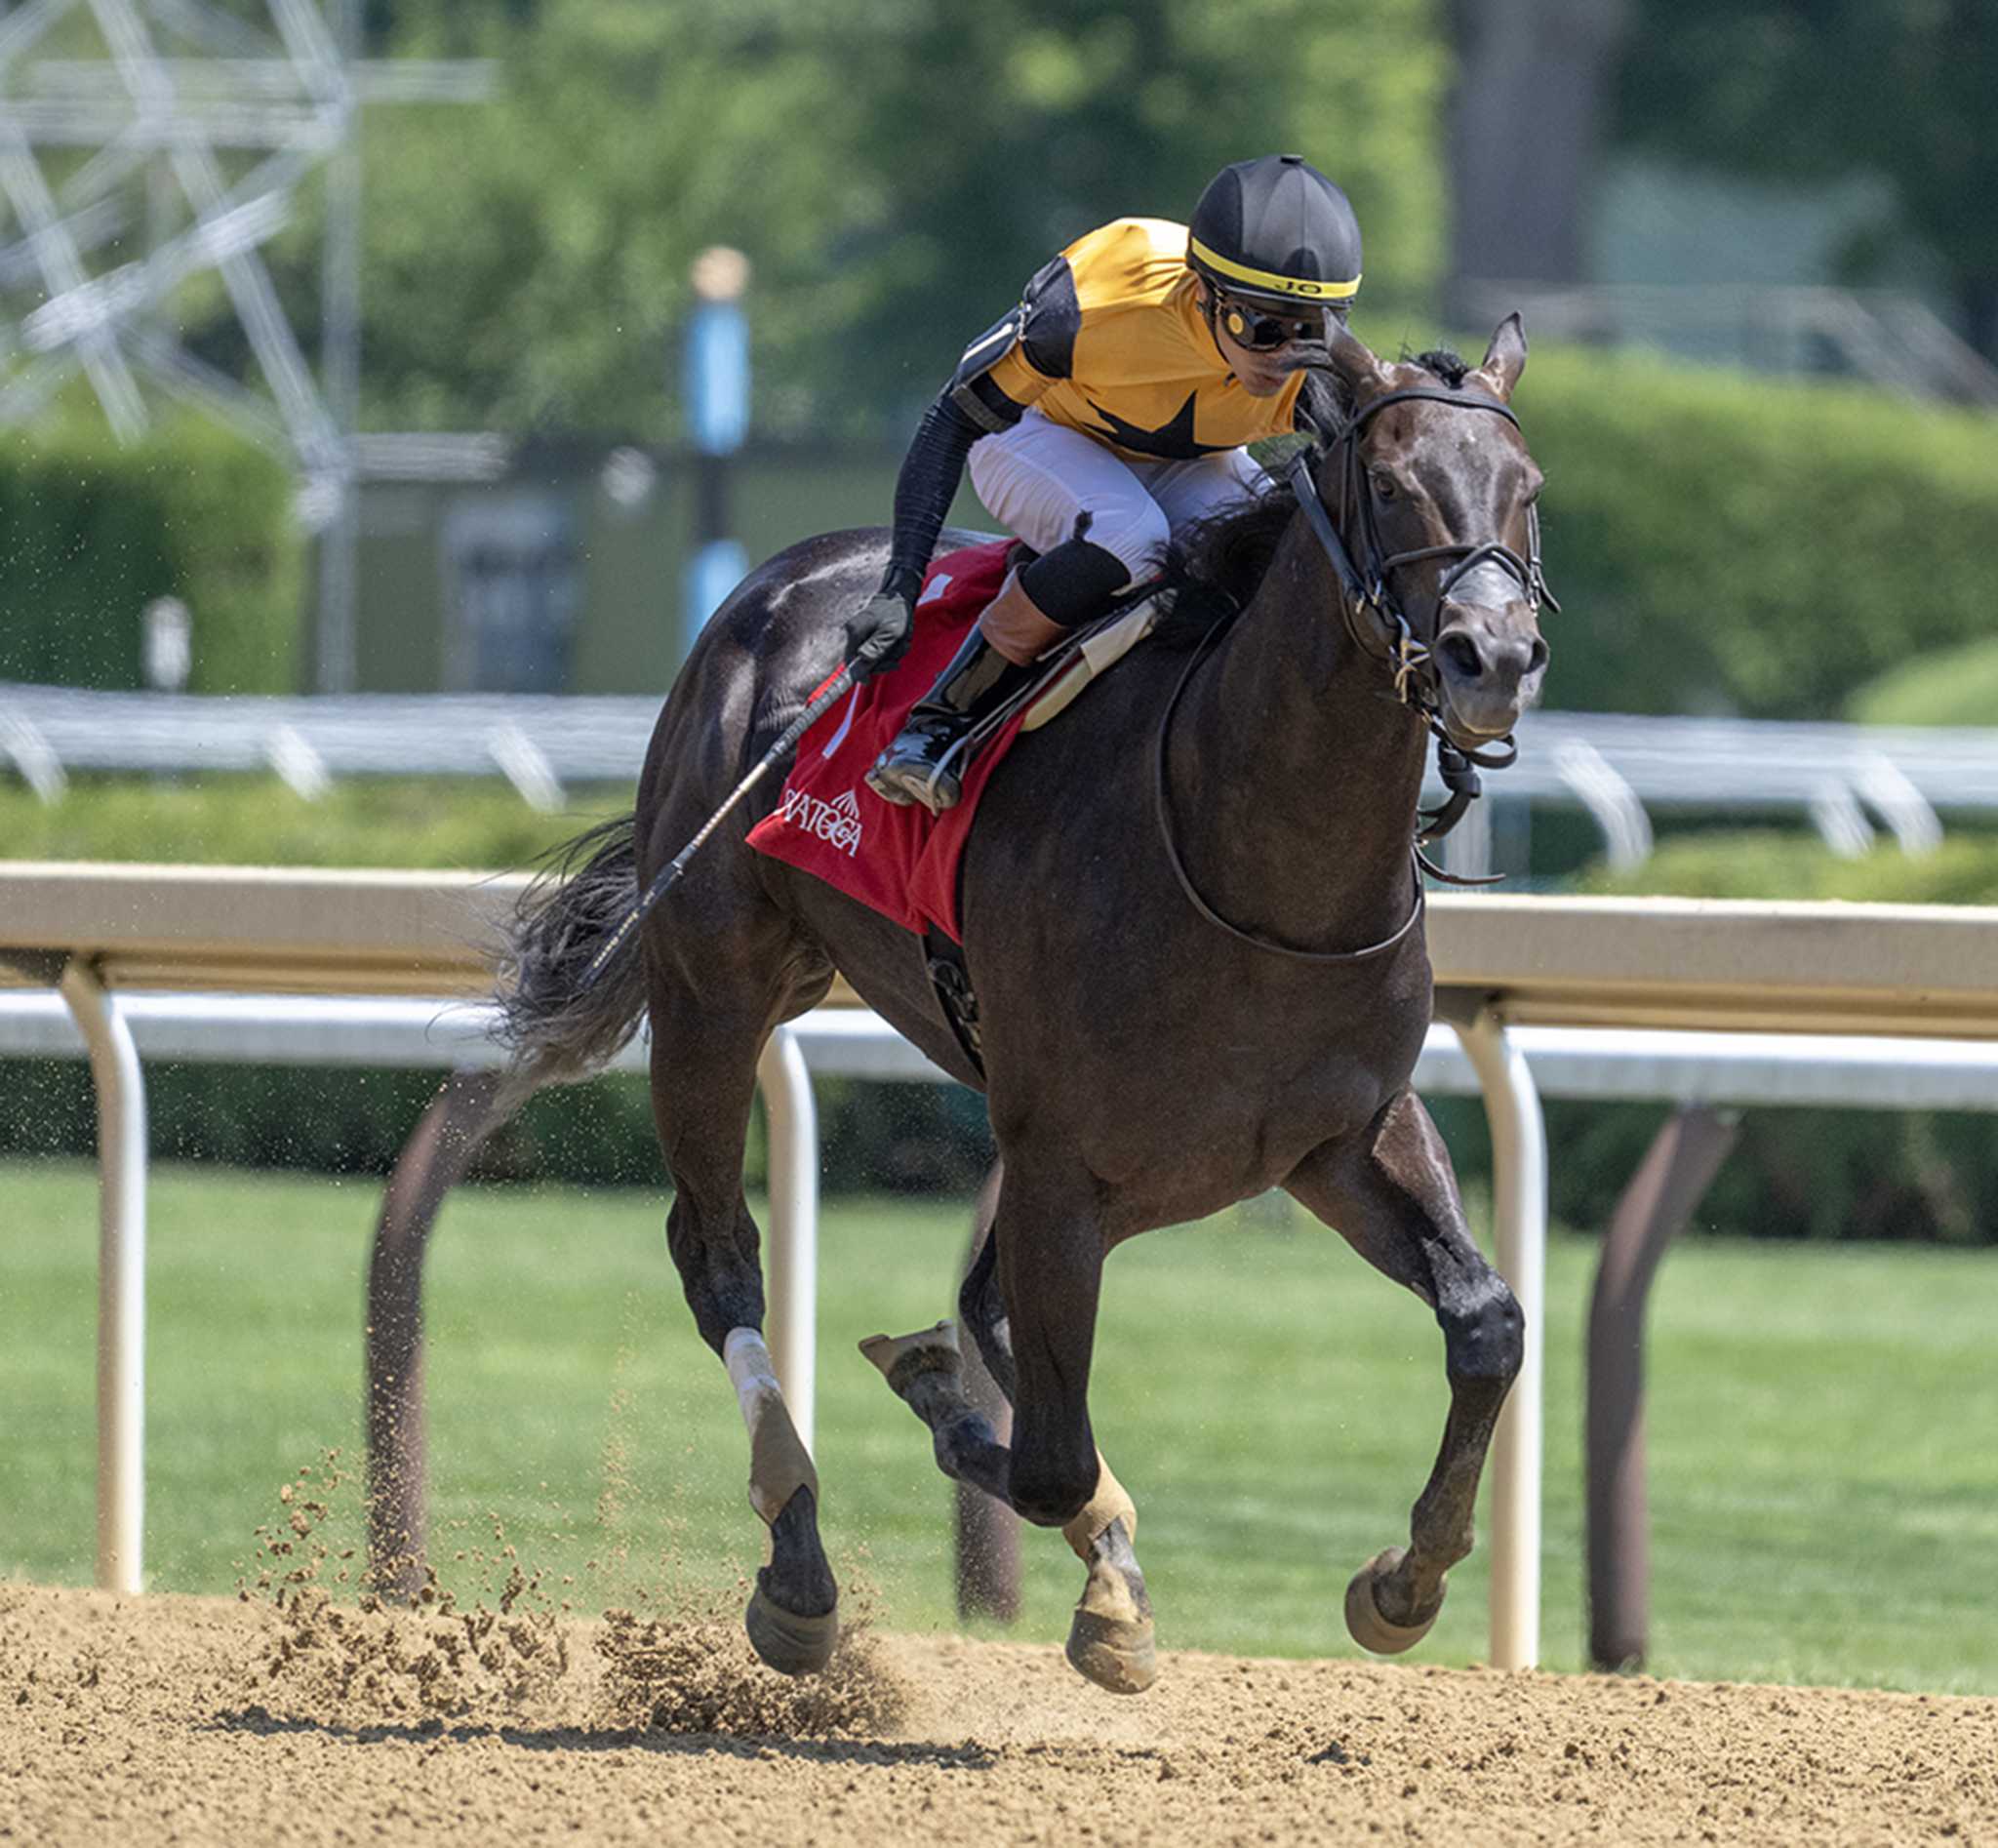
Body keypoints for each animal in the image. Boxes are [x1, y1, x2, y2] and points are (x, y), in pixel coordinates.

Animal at [494, 314, 1551, 1695]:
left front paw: (1399, 1581)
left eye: (1527, 490)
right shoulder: (1058, 1162)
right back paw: (798, 1565)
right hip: (713, 995)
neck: (1252, 860)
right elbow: (1041, 1453)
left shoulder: (1339, 1132)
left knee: (981, 1304)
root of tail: (772, 587)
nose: (1492, 658)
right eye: (1385, 485)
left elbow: (1486, 1324)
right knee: (719, 1258)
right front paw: (1032, 1502)